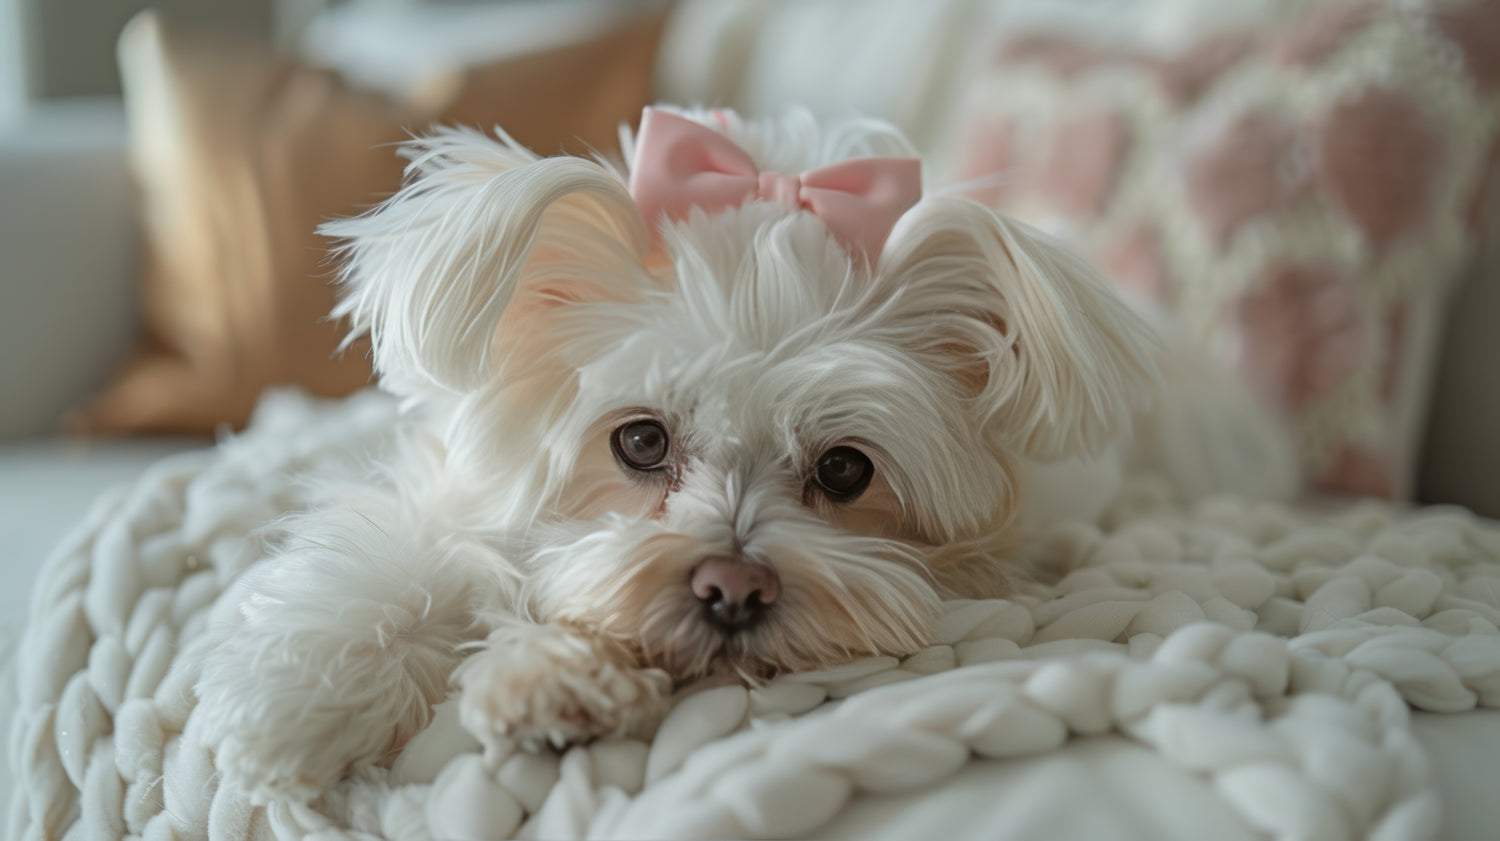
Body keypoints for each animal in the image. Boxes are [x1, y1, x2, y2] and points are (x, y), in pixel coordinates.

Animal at [184, 107, 1290, 803]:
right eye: (640, 440)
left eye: (845, 470)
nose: (732, 589)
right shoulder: (453, 497)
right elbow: (407, 569)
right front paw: (299, 704)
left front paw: (555, 675)